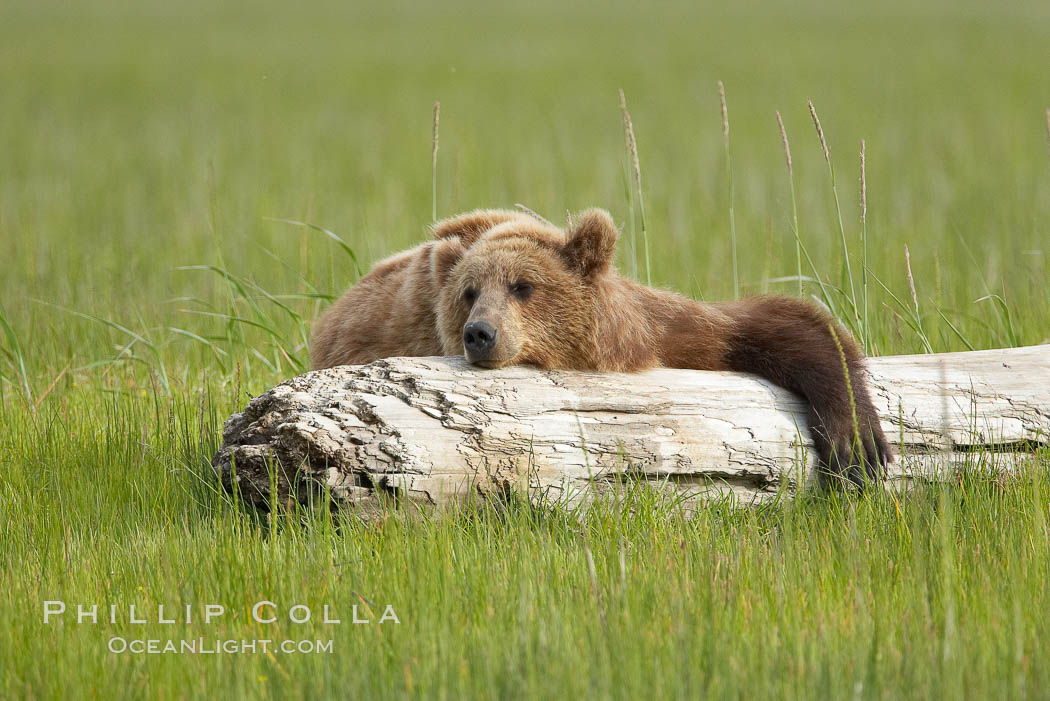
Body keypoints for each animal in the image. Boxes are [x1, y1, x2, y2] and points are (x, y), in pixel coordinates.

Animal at [306, 205, 890, 484]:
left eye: (523, 286)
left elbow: (771, 326)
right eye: (469, 293)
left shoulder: (660, 332)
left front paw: (858, 447)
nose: (480, 333)